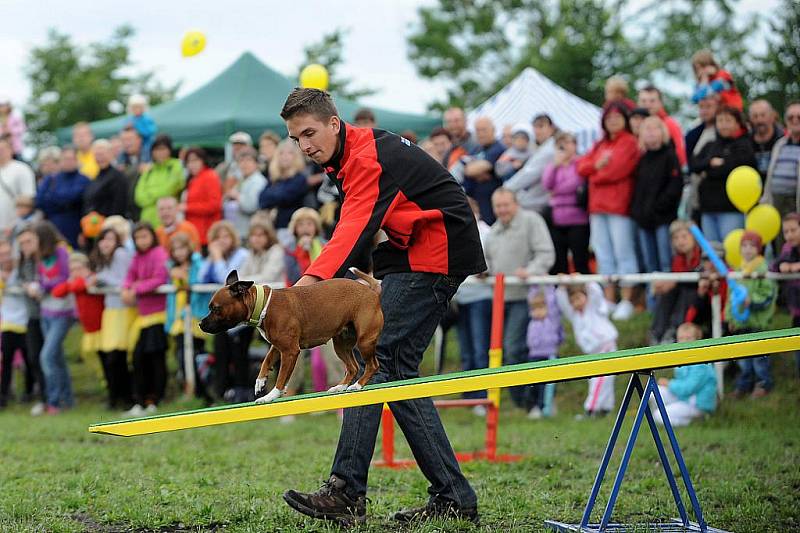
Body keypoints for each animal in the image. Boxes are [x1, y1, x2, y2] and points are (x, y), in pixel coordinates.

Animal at [202, 268, 386, 402]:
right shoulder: (278, 347)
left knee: (373, 365)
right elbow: (266, 360)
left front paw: (271, 395)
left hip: (364, 341)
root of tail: (371, 291)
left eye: (215, 308)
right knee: (353, 367)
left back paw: (357, 385)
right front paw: (260, 381)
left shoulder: (290, 352)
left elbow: (281, 377)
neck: (263, 305)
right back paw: (340, 387)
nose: (200, 324)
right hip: (341, 345)